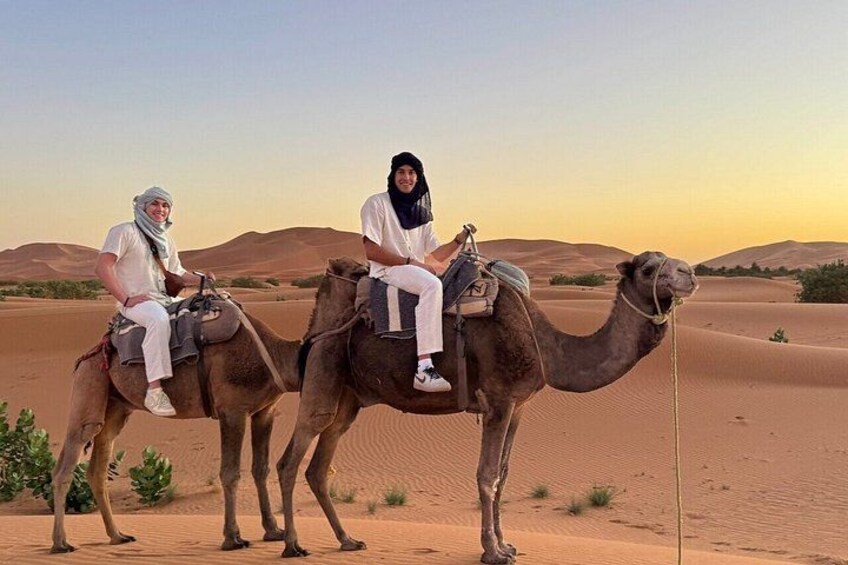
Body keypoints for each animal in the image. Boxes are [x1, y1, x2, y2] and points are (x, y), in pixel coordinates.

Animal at [51, 307, 302, 553]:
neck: (274, 355)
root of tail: (89, 355)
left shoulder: (264, 410)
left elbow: (261, 469)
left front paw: (273, 531)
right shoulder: (232, 410)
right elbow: (230, 473)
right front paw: (233, 538)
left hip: (116, 407)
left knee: (98, 466)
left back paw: (117, 536)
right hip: (89, 384)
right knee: (66, 463)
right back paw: (61, 543)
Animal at [276, 251, 698, 564]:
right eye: (649, 268)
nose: (690, 273)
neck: (546, 346)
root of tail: (316, 324)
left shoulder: (519, 405)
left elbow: (505, 475)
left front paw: (506, 543)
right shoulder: (498, 400)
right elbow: (487, 475)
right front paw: (492, 551)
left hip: (349, 399)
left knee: (318, 466)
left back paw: (348, 539)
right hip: (324, 371)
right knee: (290, 460)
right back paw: (293, 544)